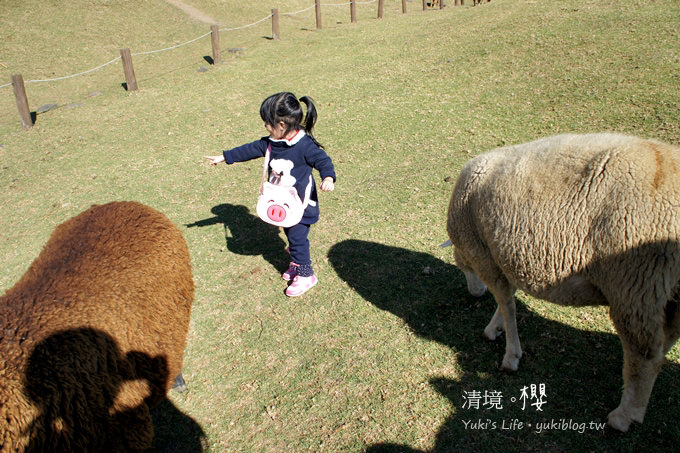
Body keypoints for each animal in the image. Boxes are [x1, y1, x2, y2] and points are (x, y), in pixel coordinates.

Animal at [446, 132, 680, 430]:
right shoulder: (505, 257)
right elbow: (507, 299)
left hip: (635, 285)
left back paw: (624, 415)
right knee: (663, 344)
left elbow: (507, 303)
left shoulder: (486, 256)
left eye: (461, 266)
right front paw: (495, 328)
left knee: (644, 354)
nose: (475, 293)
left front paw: (511, 354)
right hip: (668, 293)